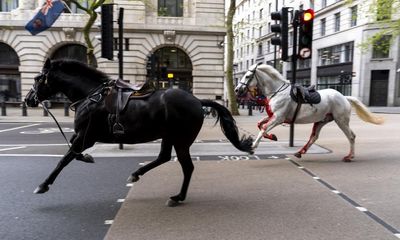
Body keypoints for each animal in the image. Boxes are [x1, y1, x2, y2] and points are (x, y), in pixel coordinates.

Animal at [24, 58, 253, 206]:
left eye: (37, 78)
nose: (28, 100)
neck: (90, 96)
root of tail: (197, 101)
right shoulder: (82, 136)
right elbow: (72, 152)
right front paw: (88, 158)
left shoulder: (86, 137)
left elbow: (65, 158)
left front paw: (43, 185)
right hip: (169, 136)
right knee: (164, 157)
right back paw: (138, 174)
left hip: (181, 140)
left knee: (187, 167)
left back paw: (177, 197)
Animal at [234, 63, 384, 161]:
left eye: (247, 76)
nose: (236, 90)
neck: (277, 91)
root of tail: (344, 97)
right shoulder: (273, 116)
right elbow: (260, 125)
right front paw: (272, 137)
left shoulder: (278, 118)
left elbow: (263, 128)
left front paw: (253, 147)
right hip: (322, 120)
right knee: (314, 137)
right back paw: (300, 152)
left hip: (341, 120)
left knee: (351, 136)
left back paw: (349, 156)